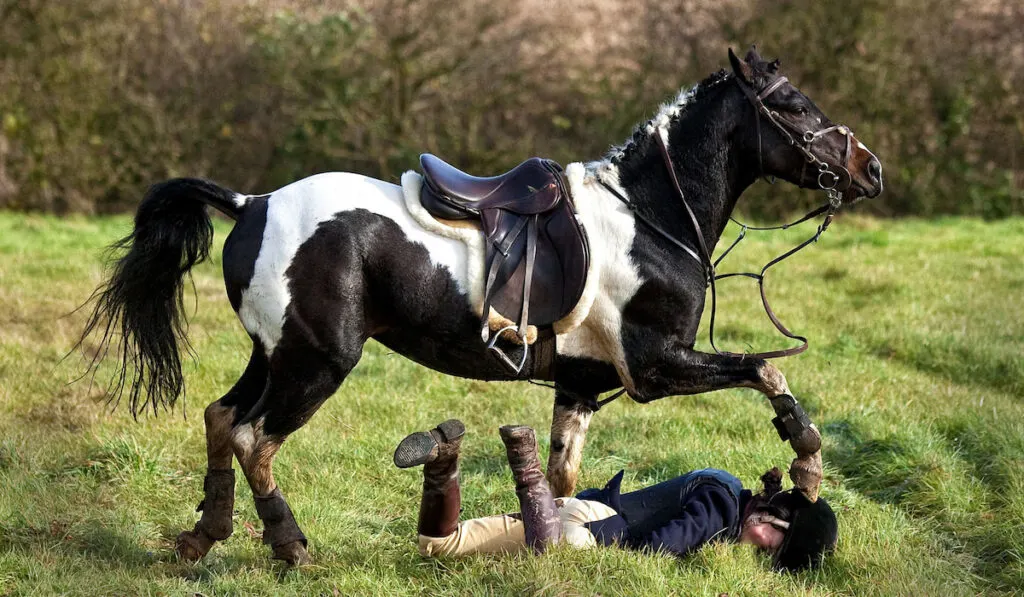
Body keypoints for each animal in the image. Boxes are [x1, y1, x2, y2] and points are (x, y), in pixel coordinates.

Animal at [79, 49, 880, 569]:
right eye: (794, 105)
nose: (869, 168)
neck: (652, 219)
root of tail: (252, 203)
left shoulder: (581, 383)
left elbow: (561, 479)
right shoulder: (657, 368)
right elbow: (768, 373)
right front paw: (808, 465)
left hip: (273, 354)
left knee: (221, 417)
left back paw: (202, 538)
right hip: (316, 362)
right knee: (254, 439)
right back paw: (291, 547)